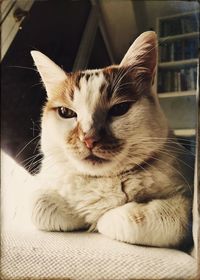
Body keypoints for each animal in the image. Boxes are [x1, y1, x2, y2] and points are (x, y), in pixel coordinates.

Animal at [29, 31, 192, 248]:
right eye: (66, 112)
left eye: (119, 109)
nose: (88, 139)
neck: (102, 180)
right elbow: (40, 206)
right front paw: (80, 214)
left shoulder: (185, 200)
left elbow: (129, 220)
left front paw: (99, 218)